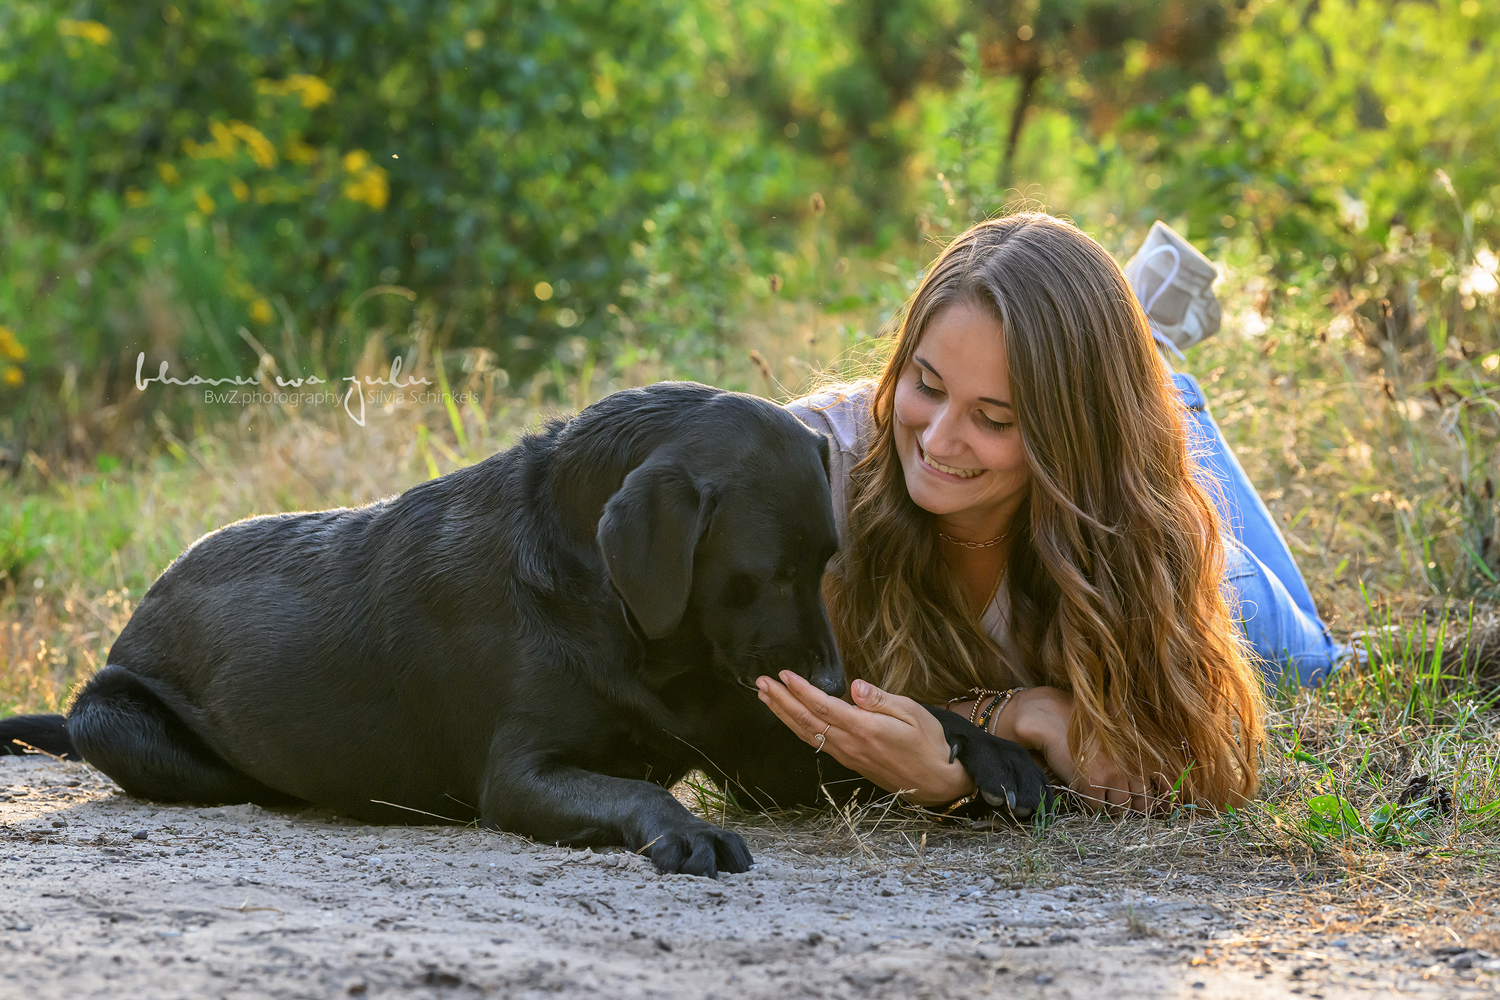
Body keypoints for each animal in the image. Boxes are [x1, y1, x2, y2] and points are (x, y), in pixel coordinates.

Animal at [0, 383, 1050, 875]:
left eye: (827, 561)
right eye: (759, 576)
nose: (830, 688)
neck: (630, 625)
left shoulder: (757, 748)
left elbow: (917, 721)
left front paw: (992, 752)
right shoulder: (522, 772)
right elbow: (633, 789)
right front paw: (684, 831)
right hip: (122, 723)